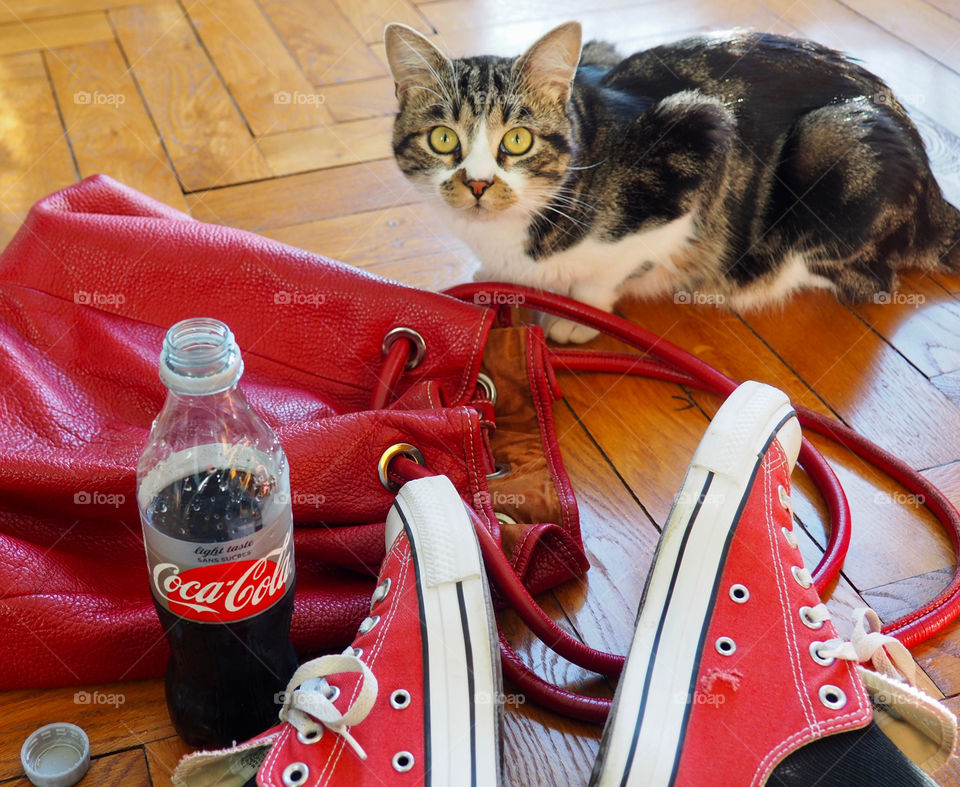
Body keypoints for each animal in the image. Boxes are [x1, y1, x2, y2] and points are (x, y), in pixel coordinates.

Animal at [382, 20, 960, 342]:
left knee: (862, 277)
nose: (478, 184)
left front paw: (578, 313)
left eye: (518, 140)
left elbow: (612, 267)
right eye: (442, 139)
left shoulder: (699, 136)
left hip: (836, 139)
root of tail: (936, 198)